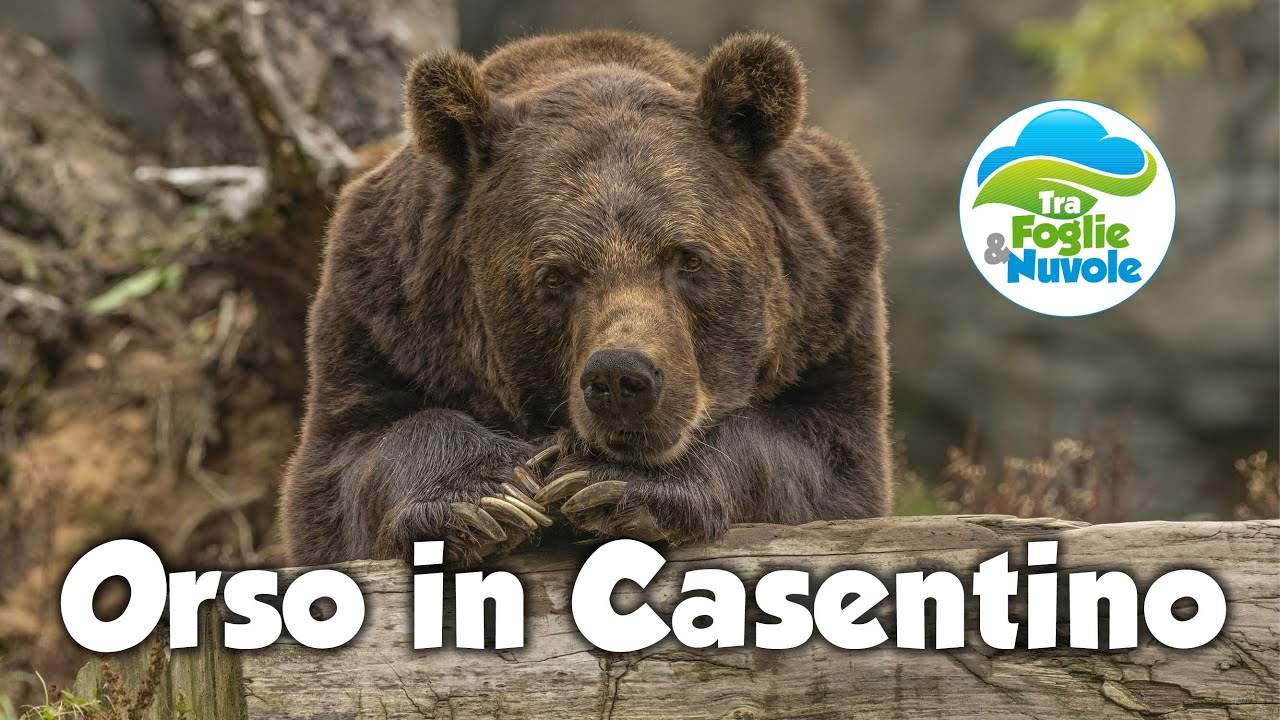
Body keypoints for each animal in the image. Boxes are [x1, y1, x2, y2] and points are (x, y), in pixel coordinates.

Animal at [281, 30, 890, 566]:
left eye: (688, 258)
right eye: (554, 276)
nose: (621, 379)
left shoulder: (830, 309)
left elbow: (823, 461)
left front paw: (612, 481)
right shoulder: (383, 317)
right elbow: (350, 462)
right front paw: (489, 496)